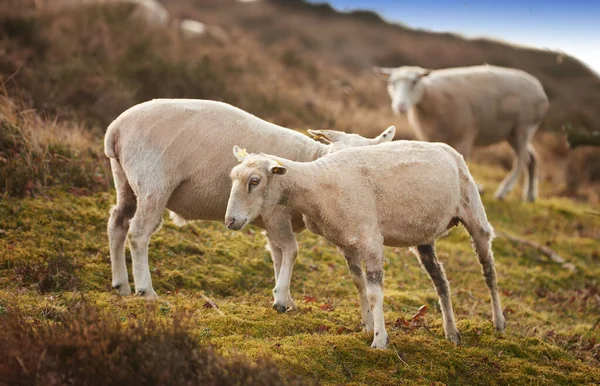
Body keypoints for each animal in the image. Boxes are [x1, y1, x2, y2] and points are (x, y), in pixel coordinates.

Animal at [103, 98, 396, 306]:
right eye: (333, 156)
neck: (308, 163)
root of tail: (115, 129)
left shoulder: (271, 219)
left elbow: (278, 254)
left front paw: (283, 297)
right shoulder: (277, 213)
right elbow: (290, 251)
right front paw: (282, 299)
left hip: (126, 181)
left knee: (117, 222)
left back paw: (121, 286)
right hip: (152, 183)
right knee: (139, 233)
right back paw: (146, 290)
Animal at [226, 139, 506, 350]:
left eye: (254, 181)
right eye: (232, 178)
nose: (230, 221)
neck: (318, 188)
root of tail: (448, 149)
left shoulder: (371, 239)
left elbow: (374, 292)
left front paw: (380, 340)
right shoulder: (346, 242)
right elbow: (359, 284)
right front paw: (368, 325)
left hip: (474, 212)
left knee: (489, 271)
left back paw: (499, 322)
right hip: (424, 237)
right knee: (441, 281)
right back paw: (451, 333)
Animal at [376, 64, 548, 202]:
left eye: (414, 82)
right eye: (391, 83)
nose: (400, 107)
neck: (430, 98)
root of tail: (540, 90)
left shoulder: (466, 133)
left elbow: (464, 160)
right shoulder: (431, 137)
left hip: (524, 126)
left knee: (522, 159)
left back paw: (504, 191)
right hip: (512, 133)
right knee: (532, 158)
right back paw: (530, 196)